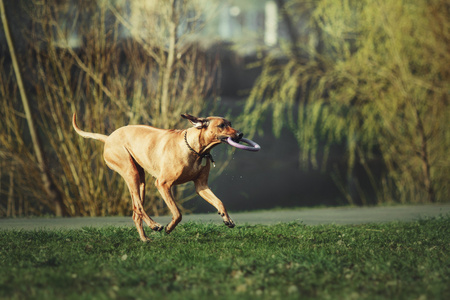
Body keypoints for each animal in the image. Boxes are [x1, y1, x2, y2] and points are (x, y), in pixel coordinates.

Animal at [73, 113, 243, 241]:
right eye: (221, 125)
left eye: (230, 123)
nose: (240, 134)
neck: (195, 149)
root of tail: (108, 137)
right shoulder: (162, 184)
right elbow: (177, 213)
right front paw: (169, 228)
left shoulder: (201, 186)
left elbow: (219, 202)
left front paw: (227, 218)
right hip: (130, 172)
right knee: (138, 206)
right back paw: (154, 225)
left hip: (140, 180)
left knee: (135, 212)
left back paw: (144, 239)